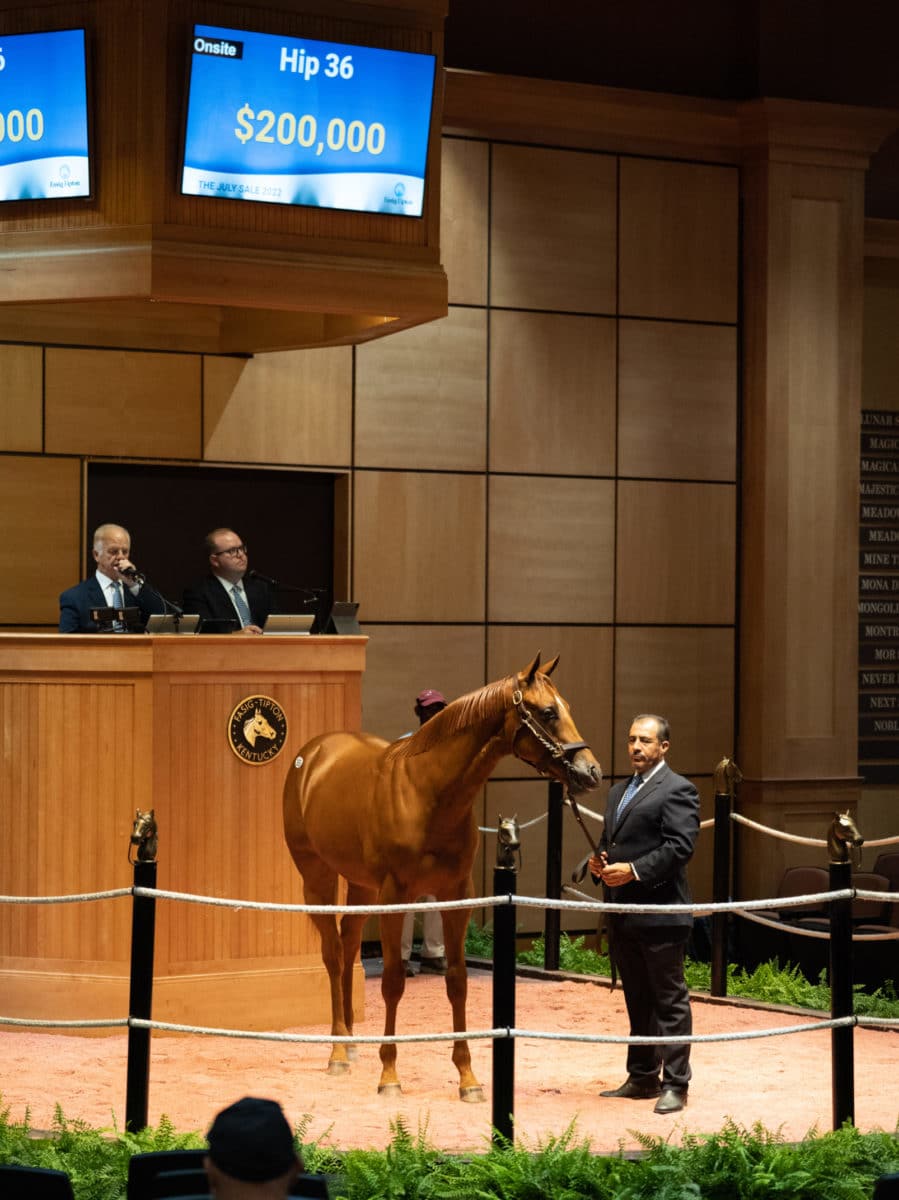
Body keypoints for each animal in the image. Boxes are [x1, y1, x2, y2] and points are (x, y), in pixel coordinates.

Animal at [284, 652, 600, 1099]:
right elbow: (393, 981)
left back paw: (352, 1043)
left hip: (361, 885)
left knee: (347, 947)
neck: (427, 791)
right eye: (548, 712)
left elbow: (457, 980)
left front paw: (468, 1077)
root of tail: (311, 755)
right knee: (332, 953)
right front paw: (389, 1074)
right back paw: (337, 1052)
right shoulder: (395, 897)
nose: (591, 772)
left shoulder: (457, 896)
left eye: (566, 708)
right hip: (318, 877)